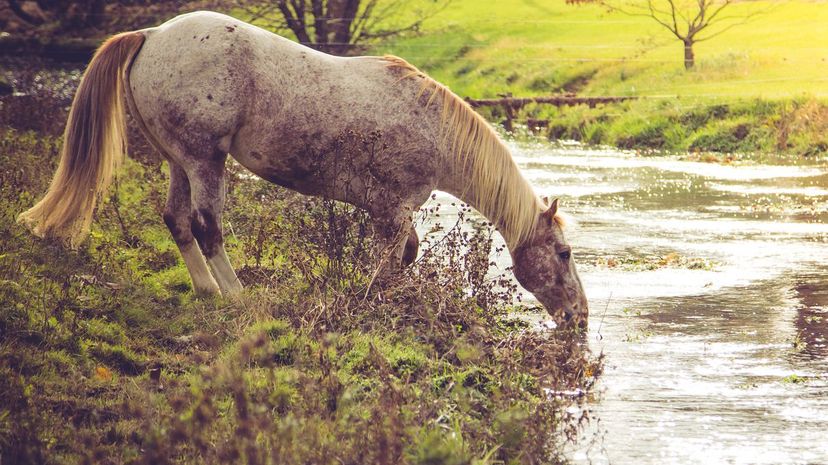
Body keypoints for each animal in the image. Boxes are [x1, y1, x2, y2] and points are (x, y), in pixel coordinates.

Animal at [17, 10, 588, 330]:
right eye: (562, 253)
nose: (578, 318)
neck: (431, 127)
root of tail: (152, 34)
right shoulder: (390, 209)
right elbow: (396, 259)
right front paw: (379, 304)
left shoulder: (388, 213)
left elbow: (402, 257)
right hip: (205, 159)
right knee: (207, 227)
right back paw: (237, 296)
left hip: (179, 160)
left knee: (177, 221)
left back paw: (206, 292)